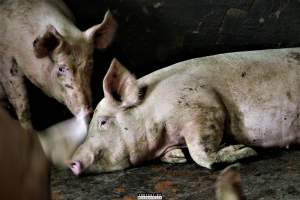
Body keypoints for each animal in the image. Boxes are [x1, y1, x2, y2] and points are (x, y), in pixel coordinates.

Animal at [69, 47, 300, 175]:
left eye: (102, 122)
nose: (71, 162)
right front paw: (179, 156)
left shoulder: (203, 107)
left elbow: (201, 152)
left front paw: (245, 150)